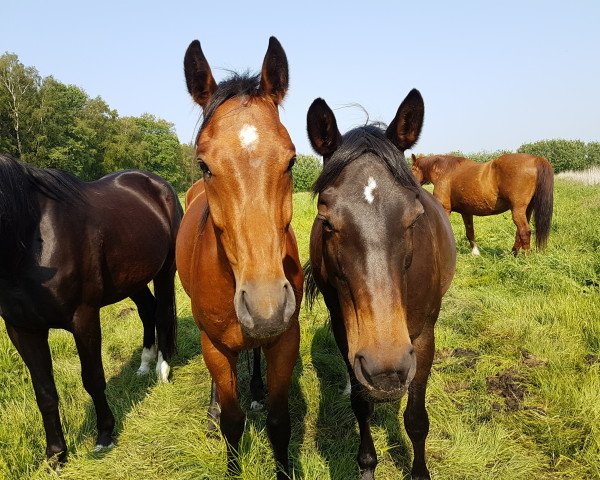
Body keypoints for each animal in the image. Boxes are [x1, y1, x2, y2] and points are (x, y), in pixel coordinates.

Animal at [0, 155, 183, 464]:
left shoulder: (83, 317)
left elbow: (93, 378)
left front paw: (105, 436)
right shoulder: (22, 329)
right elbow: (44, 392)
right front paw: (56, 455)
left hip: (165, 270)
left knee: (162, 314)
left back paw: (162, 369)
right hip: (133, 279)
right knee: (148, 311)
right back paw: (144, 365)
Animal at [176, 35, 302, 478]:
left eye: (291, 159)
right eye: (204, 164)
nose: (265, 307)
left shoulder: (285, 340)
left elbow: (280, 423)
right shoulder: (214, 345)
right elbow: (233, 421)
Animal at [304, 91, 454, 480]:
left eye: (414, 218)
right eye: (326, 221)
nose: (387, 370)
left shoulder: (423, 338)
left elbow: (415, 419)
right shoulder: (347, 336)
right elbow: (362, 406)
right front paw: (368, 465)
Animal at [410, 153, 556, 255]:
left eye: (412, 169)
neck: (446, 172)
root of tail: (535, 159)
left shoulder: (445, 209)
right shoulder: (466, 212)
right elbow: (470, 232)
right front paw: (475, 253)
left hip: (518, 209)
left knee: (525, 231)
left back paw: (526, 258)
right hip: (526, 209)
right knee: (519, 232)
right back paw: (513, 254)